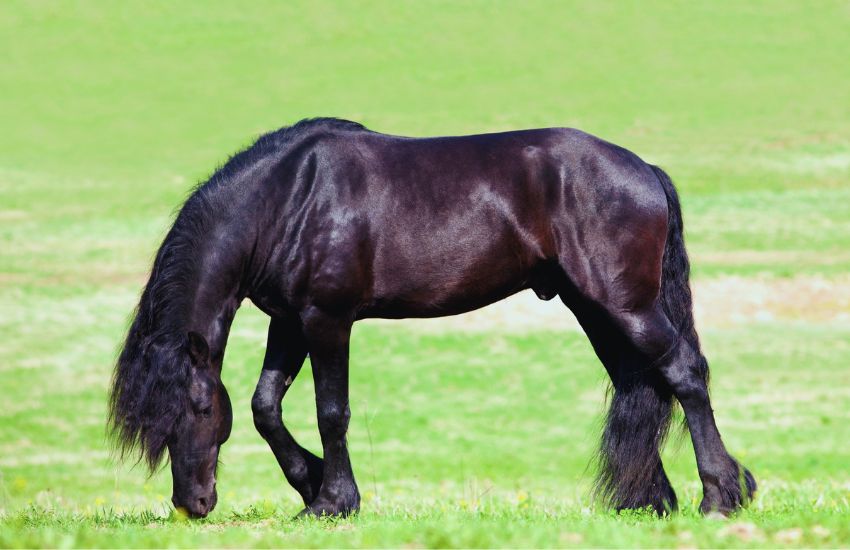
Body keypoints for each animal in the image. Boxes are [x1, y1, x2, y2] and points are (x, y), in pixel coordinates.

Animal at [107, 118, 756, 520]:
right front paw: (310, 485)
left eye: (196, 409)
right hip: (596, 308)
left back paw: (722, 496)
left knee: (685, 375)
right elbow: (267, 406)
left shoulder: (327, 319)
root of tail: (644, 169)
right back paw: (648, 500)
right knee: (641, 383)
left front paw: (334, 500)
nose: (192, 504)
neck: (288, 197)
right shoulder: (289, 322)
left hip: (625, 304)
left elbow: (331, 412)